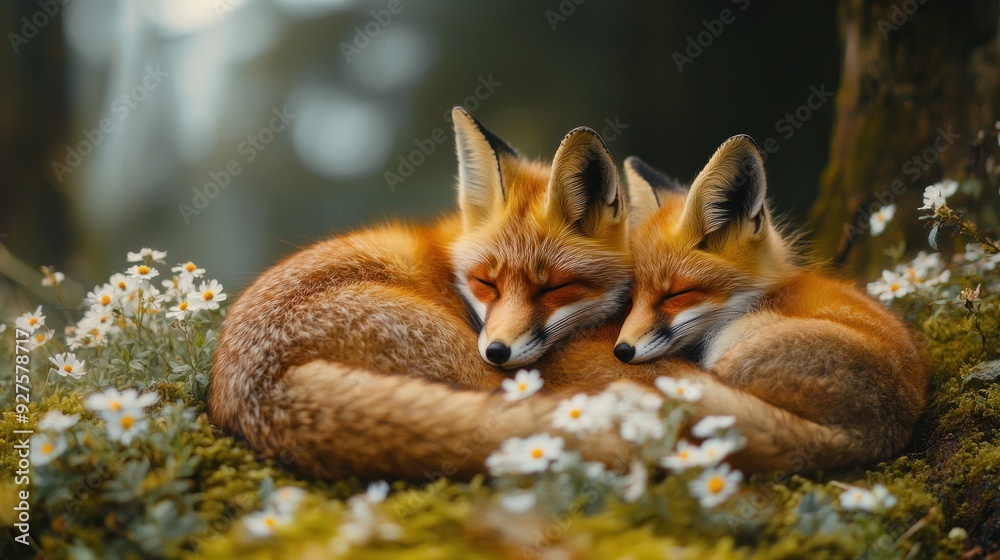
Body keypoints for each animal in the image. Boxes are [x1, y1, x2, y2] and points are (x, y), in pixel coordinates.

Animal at [208, 108, 666, 481]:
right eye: (487, 283)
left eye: (554, 287)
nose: (497, 351)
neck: (450, 265)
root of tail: (260, 392)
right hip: (472, 366)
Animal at [613, 135, 930, 472]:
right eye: (631, 298)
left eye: (675, 294)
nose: (622, 351)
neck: (769, 295)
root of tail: (876, 431)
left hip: (734, 346)